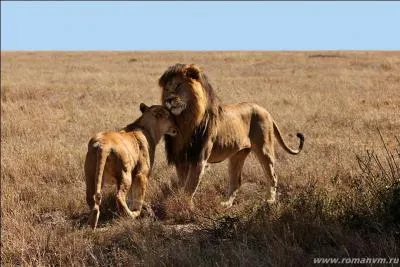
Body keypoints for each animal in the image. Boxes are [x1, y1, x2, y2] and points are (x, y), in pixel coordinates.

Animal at [158, 63, 304, 208]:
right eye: (167, 89)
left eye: (178, 85)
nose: (168, 100)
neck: (185, 119)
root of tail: (265, 110)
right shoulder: (180, 159)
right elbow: (184, 185)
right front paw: (182, 204)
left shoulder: (199, 158)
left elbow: (189, 187)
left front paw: (186, 207)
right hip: (237, 155)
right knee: (236, 181)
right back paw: (226, 204)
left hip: (264, 150)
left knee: (272, 176)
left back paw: (270, 201)